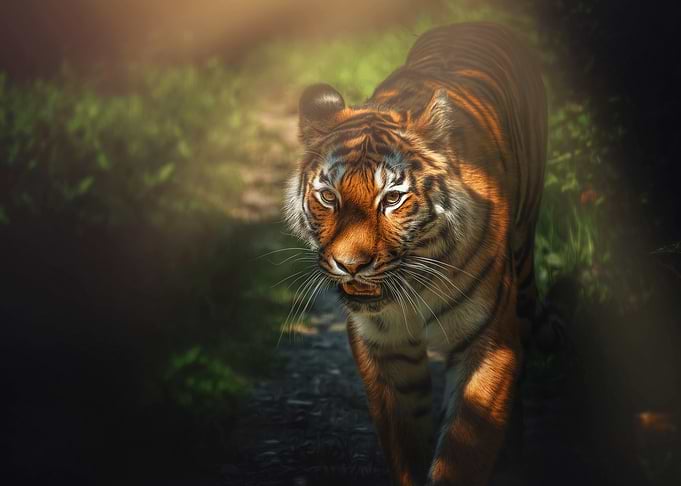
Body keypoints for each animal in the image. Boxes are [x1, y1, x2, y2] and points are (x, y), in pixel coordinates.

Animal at [284, 22, 547, 486]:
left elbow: (464, 450)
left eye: (391, 199)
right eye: (329, 197)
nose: (351, 265)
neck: (414, 285)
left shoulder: (489, 340)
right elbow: (406, 440)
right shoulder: (383, 346)